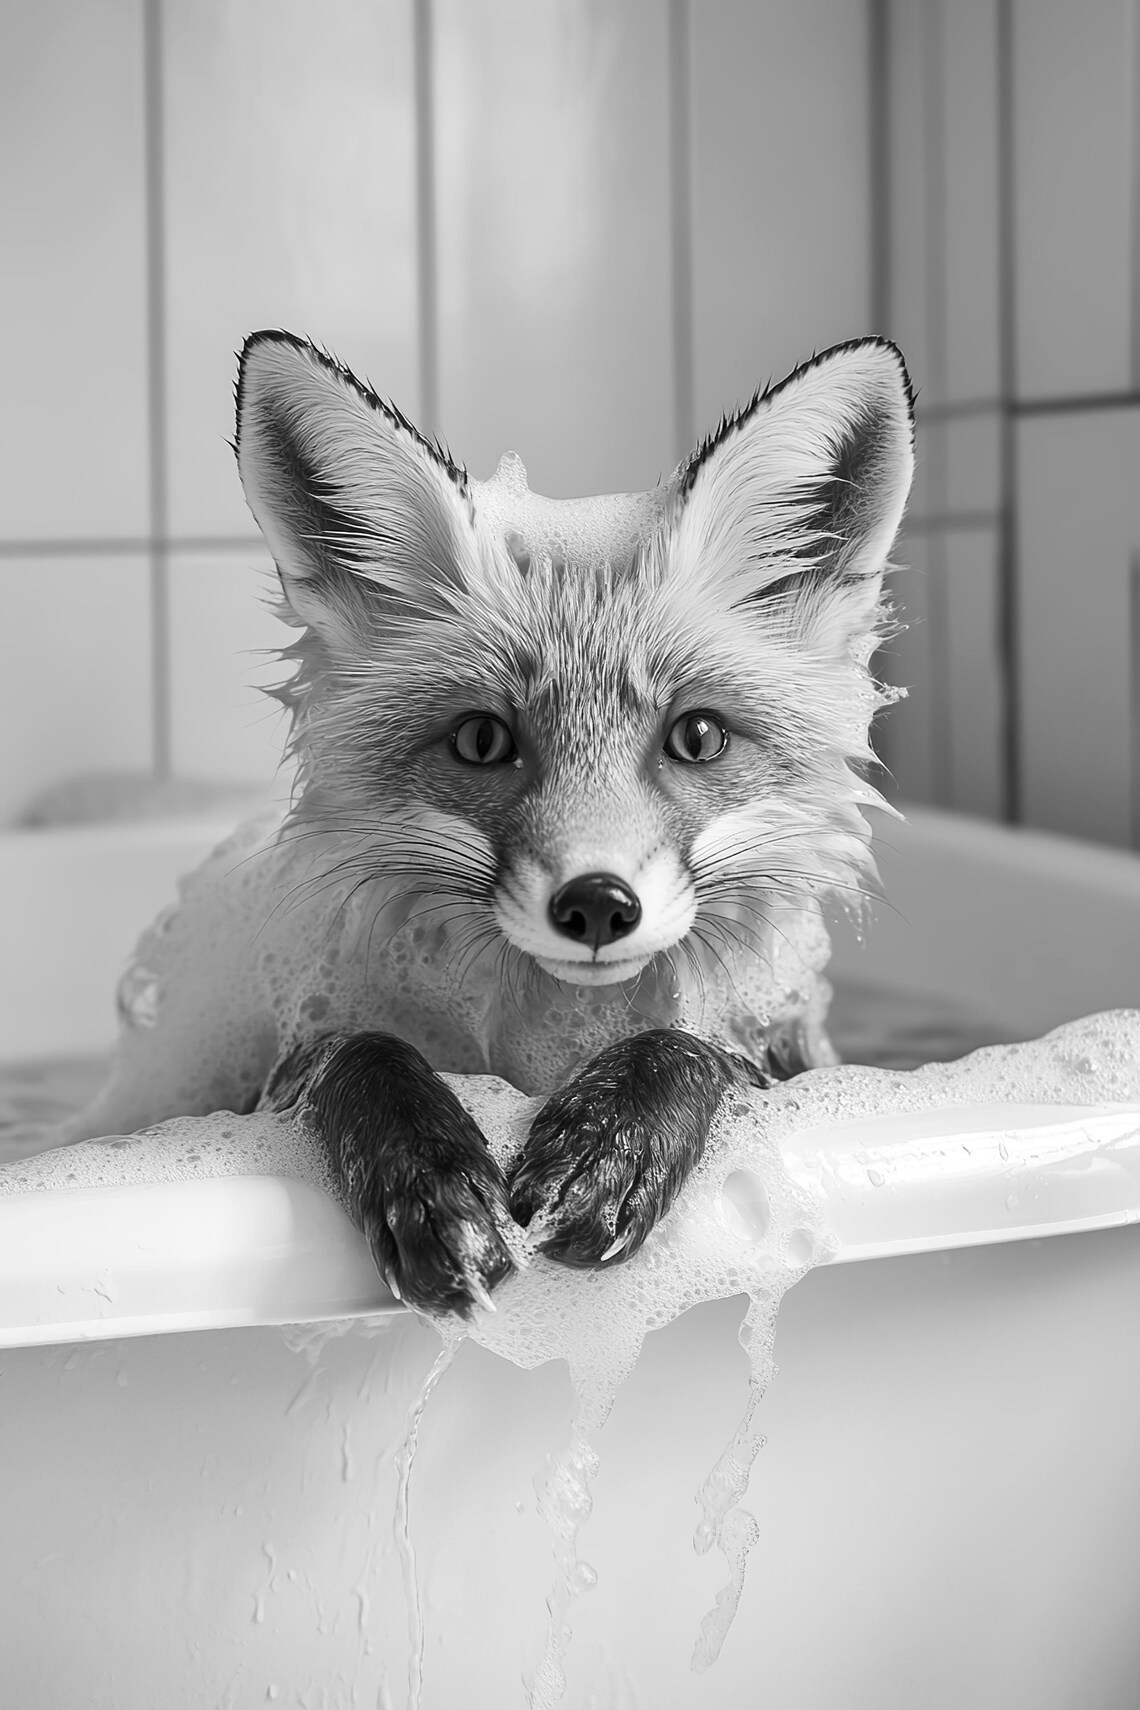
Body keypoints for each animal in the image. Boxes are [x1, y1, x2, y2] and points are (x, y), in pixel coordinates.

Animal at [71, 330, 914, 1319]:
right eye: (482, 740)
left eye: (698, 736)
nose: (597, 906)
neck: (556, 1033)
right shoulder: (273, 1070)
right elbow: (358, 1051)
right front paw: (428, 1177)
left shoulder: (797, 1058)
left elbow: (697, 1045)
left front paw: (614, 1145)